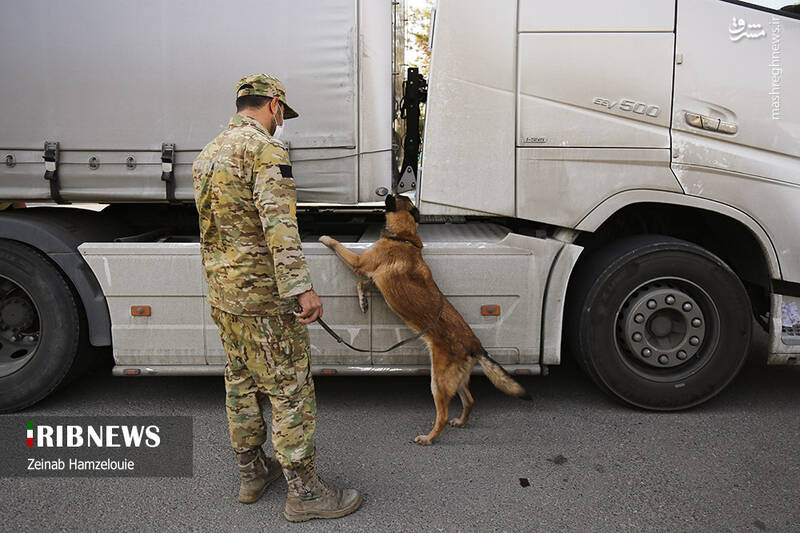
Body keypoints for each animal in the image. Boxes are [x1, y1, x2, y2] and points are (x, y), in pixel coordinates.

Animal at [318, 193, 532, 442]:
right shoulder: (372, 277)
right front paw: (363, 301)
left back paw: (429, 438)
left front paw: (326, 237)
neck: (404, 238)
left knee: (442, 416)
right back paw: (460, 421)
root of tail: (475, 345)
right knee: (469, 400)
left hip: (438, 381)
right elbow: (362, 284)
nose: (382, 193)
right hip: (454, 379)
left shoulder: (359, 263)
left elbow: (340, 248)